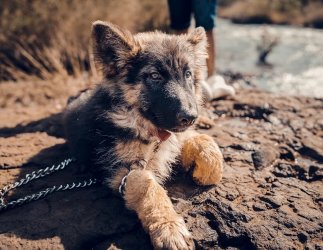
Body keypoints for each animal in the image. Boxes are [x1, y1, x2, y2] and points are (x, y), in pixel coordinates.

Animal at [64, 21, 224, 250]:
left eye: (187, 74)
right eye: (155, 76)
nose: (190, 117)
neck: (147, 127)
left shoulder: (174, 137)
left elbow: (203, 142)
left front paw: (205, 168)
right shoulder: (123, 169)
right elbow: (148, 187)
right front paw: (169, 227)